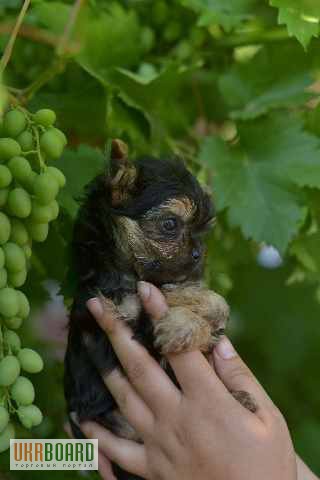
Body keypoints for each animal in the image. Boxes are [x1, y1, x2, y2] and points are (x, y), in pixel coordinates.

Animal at [63, 141, 256, 478]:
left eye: (202, 232)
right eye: (170, 225)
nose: (199, 253)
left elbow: (207, 300)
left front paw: (195, 311)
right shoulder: (114, 321)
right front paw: (181, 326)